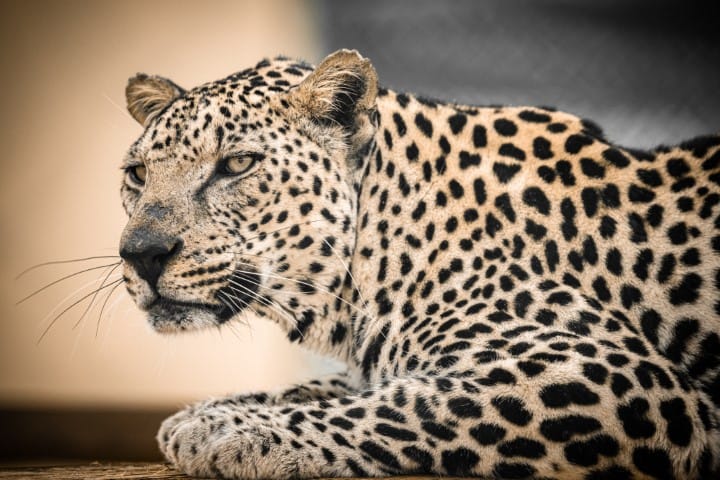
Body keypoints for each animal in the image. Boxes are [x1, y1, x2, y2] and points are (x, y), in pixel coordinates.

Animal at [119, 49, 720, 479]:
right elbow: (337, 387)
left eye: (237, 164)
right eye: (137, 174)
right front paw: (210, 410)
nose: (141, 254)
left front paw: (228, 429)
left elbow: (406, 402)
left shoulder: (608, 374)